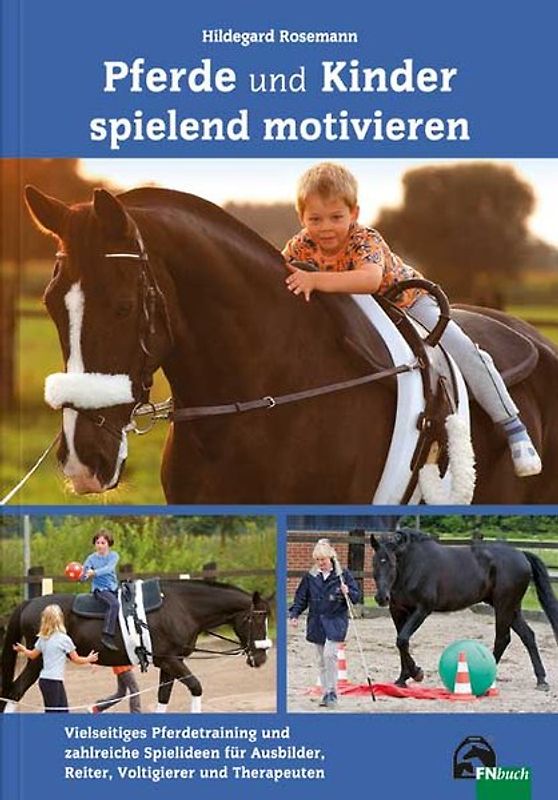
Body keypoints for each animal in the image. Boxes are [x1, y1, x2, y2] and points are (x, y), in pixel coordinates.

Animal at [0, 579, 272, 713]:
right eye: (256, 619)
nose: (261, 659)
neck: (181, 607)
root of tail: (30, 603)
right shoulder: (171, 661)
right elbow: (196, 687)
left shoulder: (170, 663)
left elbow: (163, 698)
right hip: (37, 661)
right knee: (14, 693)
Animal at [371, 529, 558, 690]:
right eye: (374, 564)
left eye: (392, 563)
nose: (381, 597)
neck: (413, 566)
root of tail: (521, 554)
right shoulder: (397, 611)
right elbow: (402, 642)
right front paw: (402, 679)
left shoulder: (422, 609)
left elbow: (402, 640)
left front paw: (417, 673)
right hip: (512, 608)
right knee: (528, 636)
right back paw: (541, 680)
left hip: (503, 606)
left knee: (503, 639)